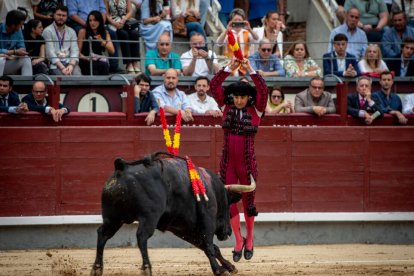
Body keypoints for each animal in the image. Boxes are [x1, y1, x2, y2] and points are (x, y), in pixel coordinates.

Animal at [90, 152, 256, 274]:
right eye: (228, 206)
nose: (228, 232)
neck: (212, 188)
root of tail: (122, 167)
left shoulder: (182, 228)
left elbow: (210, 247)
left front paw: (229, 267)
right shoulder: (207, 220)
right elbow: (209, 245)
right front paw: (218, 270)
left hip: (113, 218)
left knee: (102, 234)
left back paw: (97, 268)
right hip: (149, 217)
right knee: (141, 236)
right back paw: (146, 268)